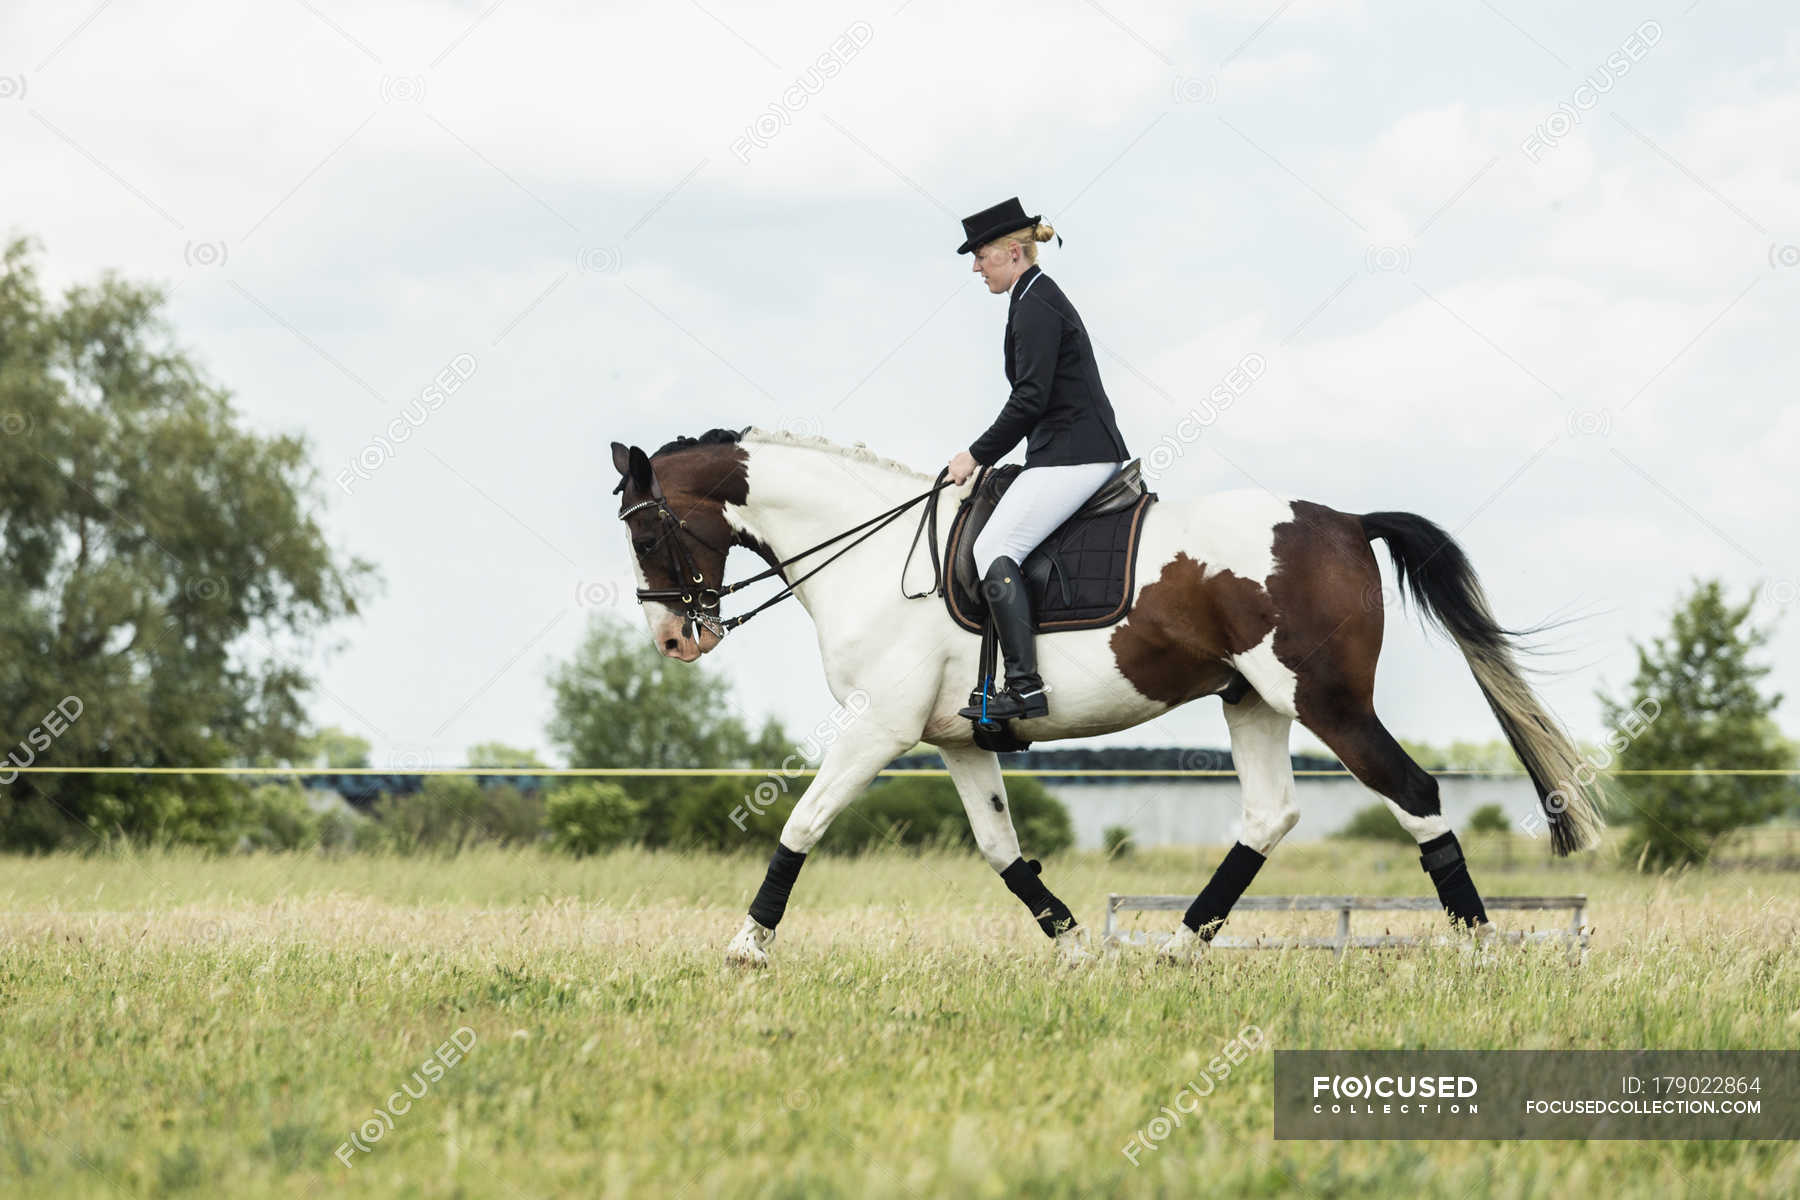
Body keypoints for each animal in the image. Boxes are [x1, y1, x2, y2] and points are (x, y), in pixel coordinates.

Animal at [612, 429, 1612, 964]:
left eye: (647, 534)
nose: (674, 640)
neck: (869, 554)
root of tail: (1346, 522)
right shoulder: (958, 742)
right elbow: (1001, 850)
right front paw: (1076, 947)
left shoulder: (878, 729)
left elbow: (802, 824)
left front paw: (747, 946)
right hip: (1250, 702)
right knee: (1269, 815)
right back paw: (1177, 946)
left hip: (1326, 703)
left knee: (1414, 794)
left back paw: (1478, 945)